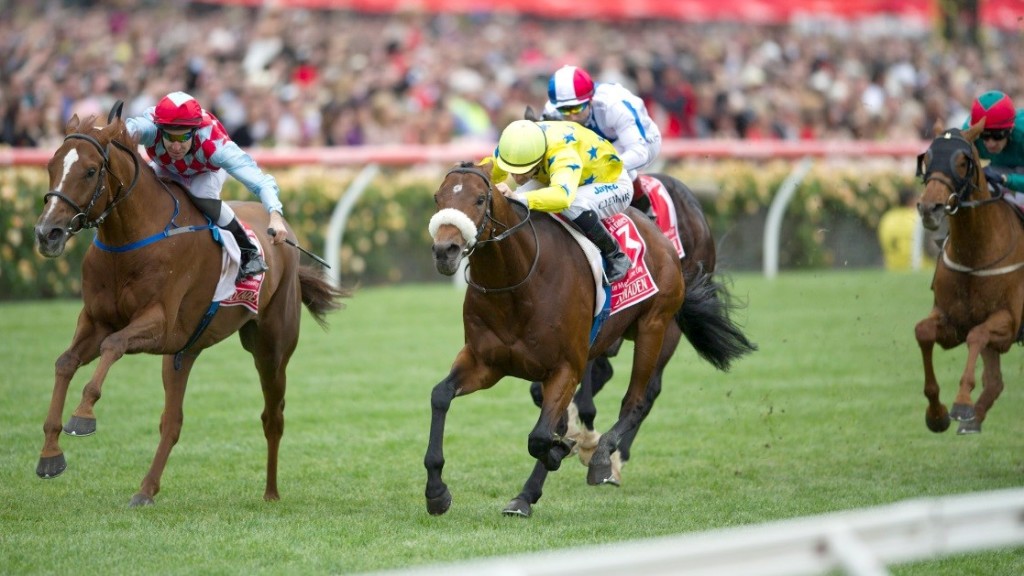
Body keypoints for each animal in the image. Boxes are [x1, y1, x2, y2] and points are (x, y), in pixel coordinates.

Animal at [32, 105, 348, 504]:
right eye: (51, 164)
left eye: (90, 170)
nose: (47, 233)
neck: (131, 242)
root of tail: (286, 235)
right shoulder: (96, 320)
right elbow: (65, 362)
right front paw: (50, 454)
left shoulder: (160, 325)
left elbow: (113, 345)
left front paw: (83, 415)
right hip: (185, 352)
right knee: (172, 422)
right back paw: (146, 490)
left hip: (271, 347)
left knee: (272, 417)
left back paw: (271, 493)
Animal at [423, 159, 737, 516]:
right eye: (437, 197)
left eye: (478, 199)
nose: (444, 250)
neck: (517, 284)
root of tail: (661, 236)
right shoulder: (484, 363)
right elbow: (440, 395)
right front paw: (436, 491)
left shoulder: (566, 368)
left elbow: (541, 437)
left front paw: (566, 452)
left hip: (657, 326)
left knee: (638, 398)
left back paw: (605, 458)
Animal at [913, 121, 1024, 434]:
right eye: (927, 157)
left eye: (962, 162)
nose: (930, 208)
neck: (975, 255)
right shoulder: (952, 323)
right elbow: (923, 331)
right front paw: (936, 414)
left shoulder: (1009, 322)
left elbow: (978, 334)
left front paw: (962, 402)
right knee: (996, 381)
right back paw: (975, 417)